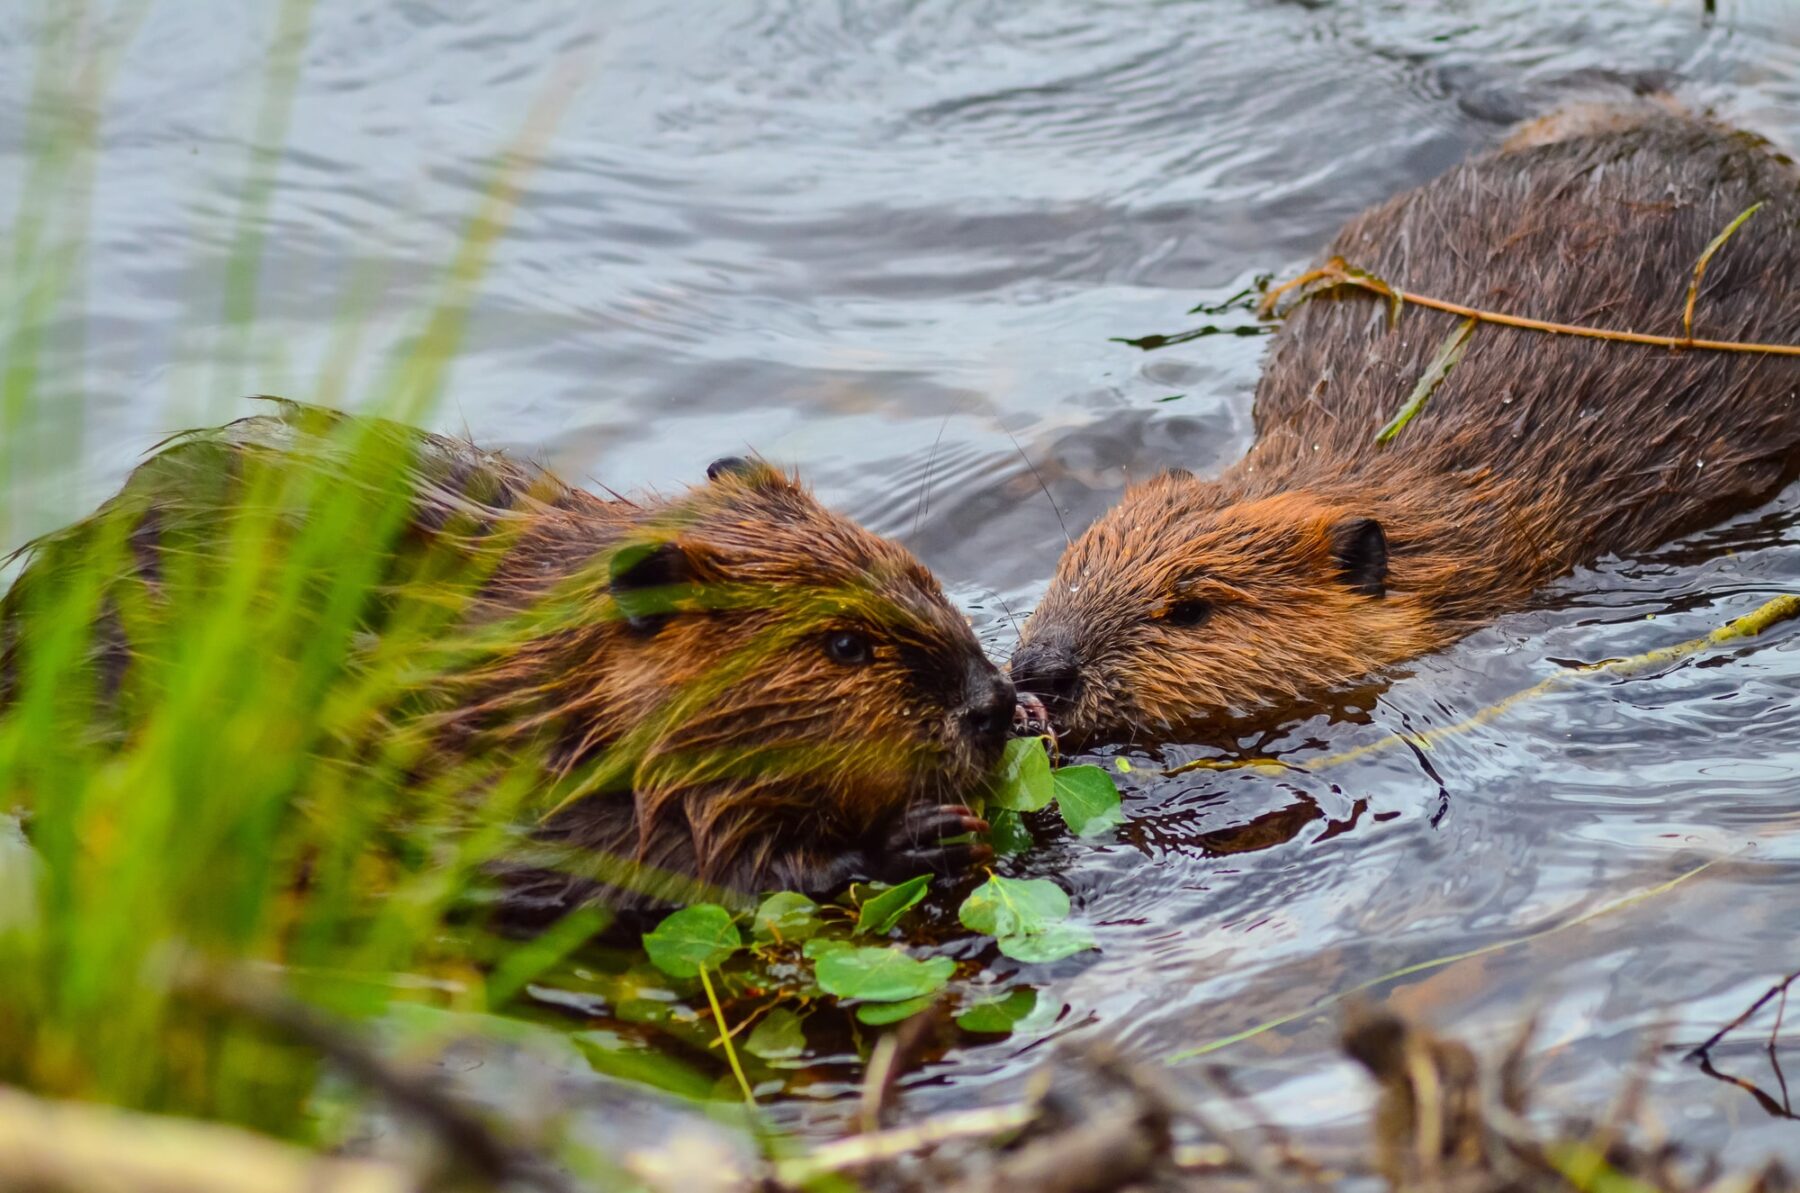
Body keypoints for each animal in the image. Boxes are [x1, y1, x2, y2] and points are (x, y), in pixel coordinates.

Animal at [0, 403, 1022, 914]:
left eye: (919, 570)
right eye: (846, 643)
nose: (991, 703)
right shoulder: (481, 777)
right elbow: (650, 866)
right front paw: (916, 834)